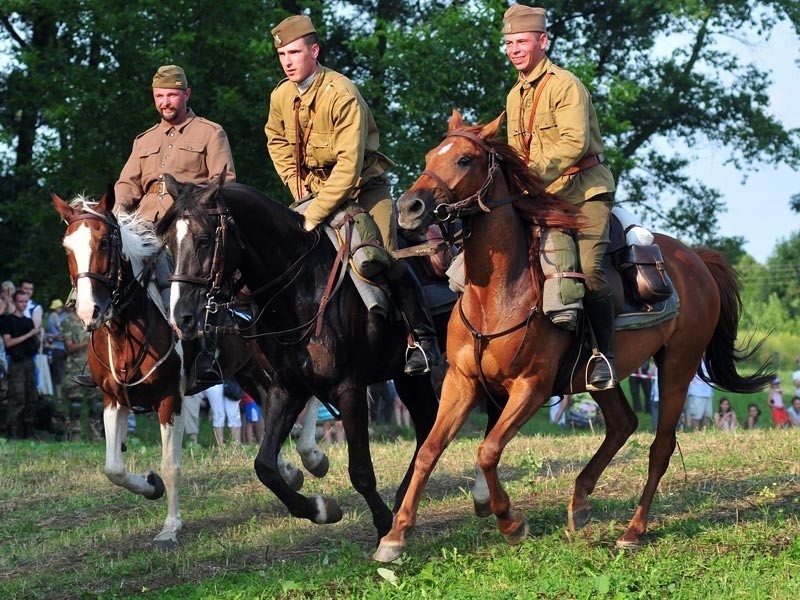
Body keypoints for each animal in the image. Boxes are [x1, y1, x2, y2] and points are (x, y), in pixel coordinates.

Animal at [51, 186, 314, 548]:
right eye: (67, 247)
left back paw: (312, 455)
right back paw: (291, 469)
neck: (126, 330)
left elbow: (171, 465)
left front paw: (170, 527)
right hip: (249, 373)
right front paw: (150, 485)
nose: (90, 311)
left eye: (104, 242)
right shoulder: (112, 399)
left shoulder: (169, 400)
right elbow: (113, 468)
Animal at [155, 176, 444, 540]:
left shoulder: (349, 389)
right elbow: (265, 466)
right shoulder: (287, 389)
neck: (302, 288)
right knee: (428, 424)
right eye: (168, 244)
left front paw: (382, 526)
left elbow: (361, 470)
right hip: (409, 379)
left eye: (204, 239)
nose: (181, 317)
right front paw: (320, 508)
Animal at [370, 109, 776, 564]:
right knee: (622, 423)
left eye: (464, 159)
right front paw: (395, 536)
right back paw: (580, 501)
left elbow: (488, 450)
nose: (409, 207)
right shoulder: (462, 382)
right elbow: (429, 451)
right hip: (599, 375)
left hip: (677, 367)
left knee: (660, 447)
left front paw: (510, 522)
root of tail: (697, 260)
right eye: (429, 155)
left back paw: (633, 530)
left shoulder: (531, 387)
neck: (498, 292)